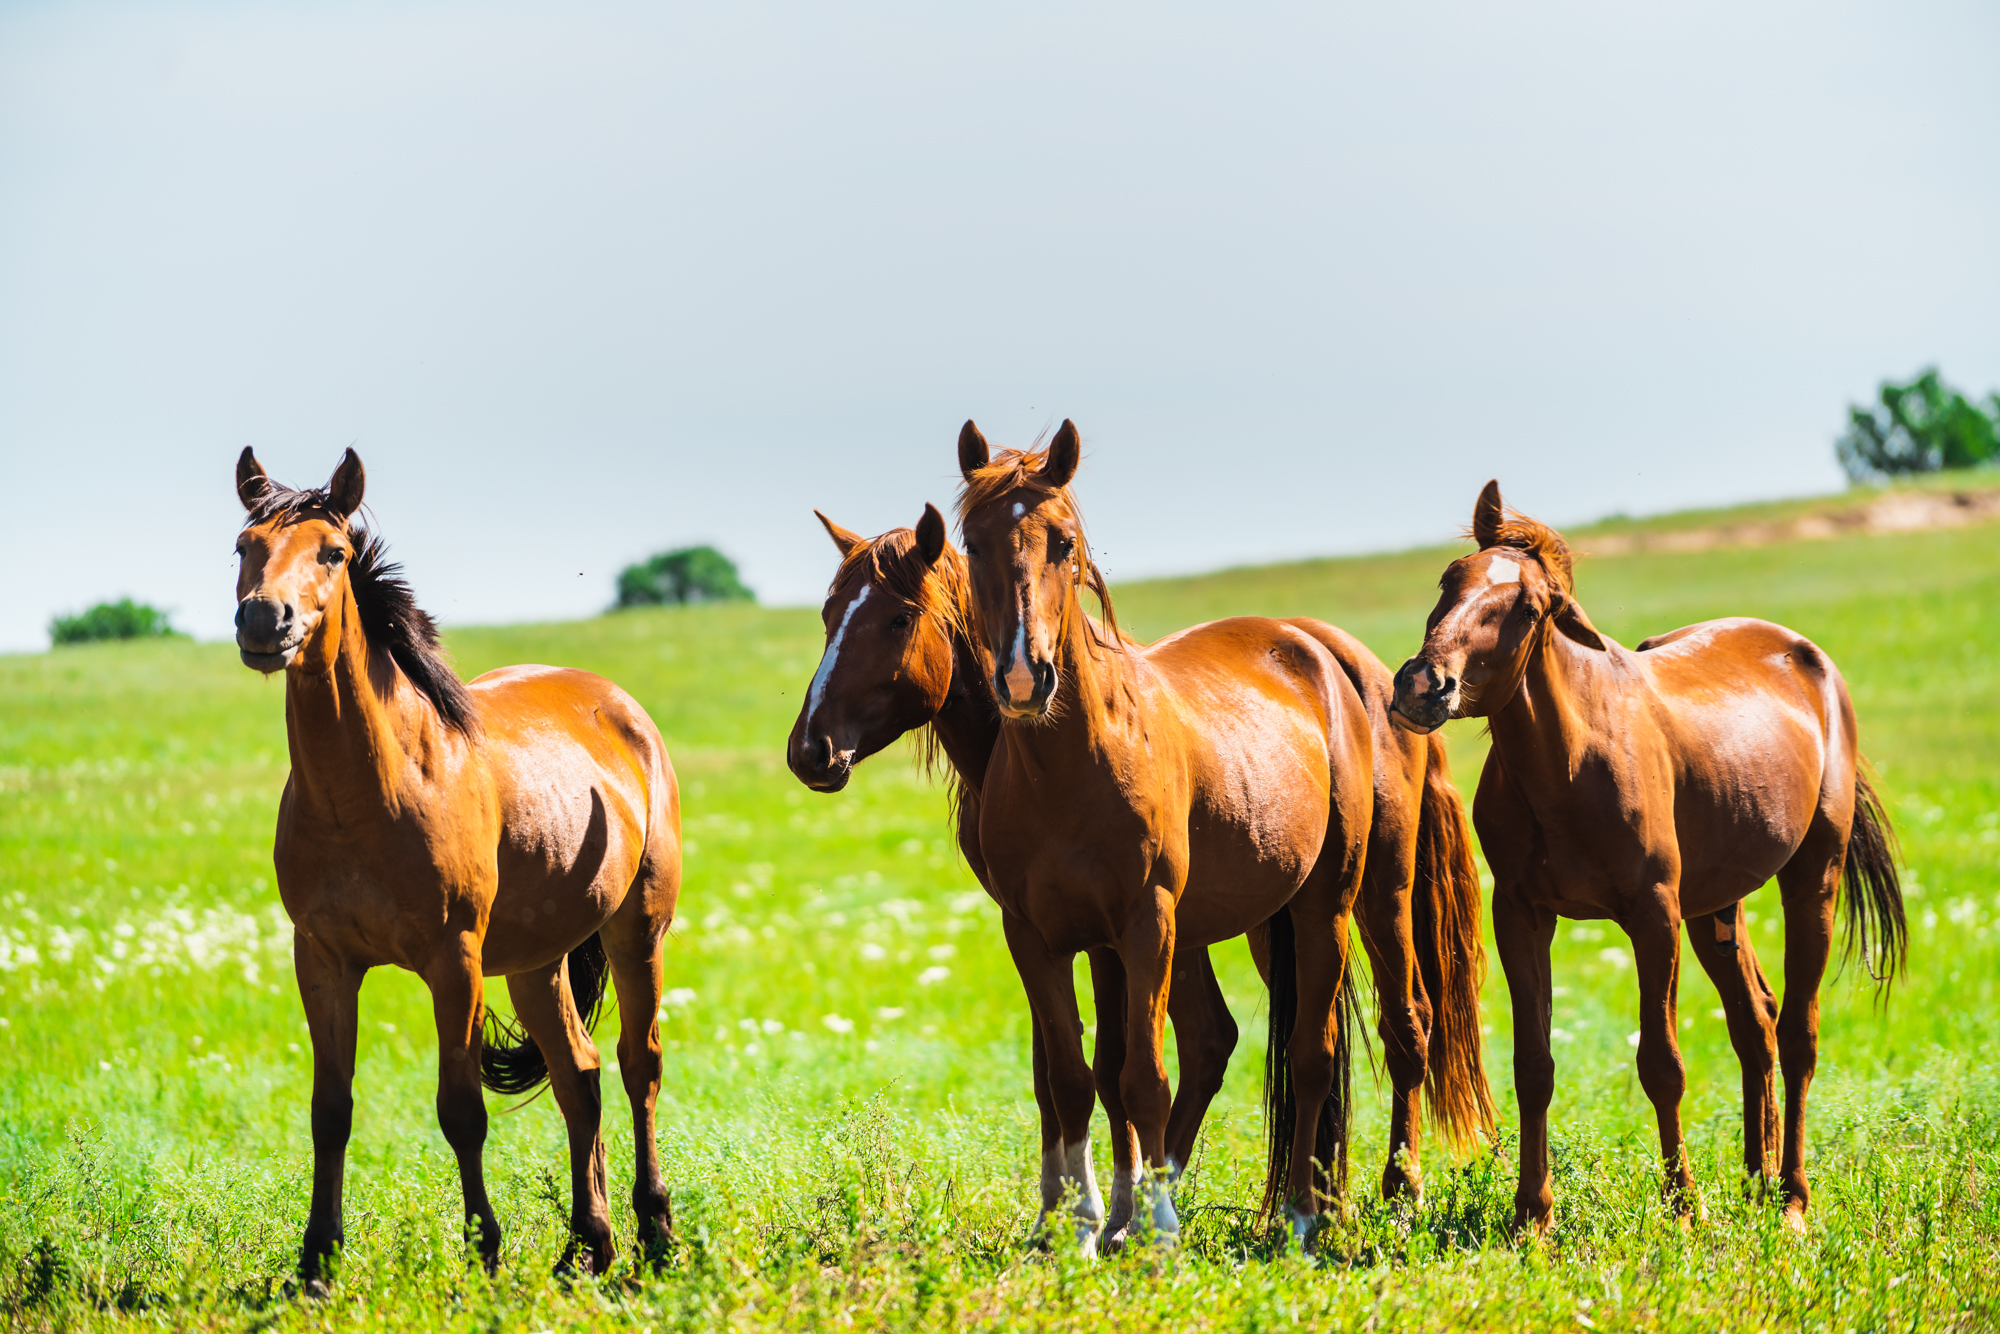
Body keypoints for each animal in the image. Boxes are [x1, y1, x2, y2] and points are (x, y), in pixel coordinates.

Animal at [956, 422, 1504, 1248]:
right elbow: (1071, 1080)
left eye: (1063, 541)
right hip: (1272, 917)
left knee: (1360, 1040)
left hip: (1357, 896)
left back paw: (1348, 1204)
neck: (1069, 766)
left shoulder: (1147, 925)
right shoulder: (1032, 935)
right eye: (972, 542)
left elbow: (1142, 1079)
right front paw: (1078, 1231)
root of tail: (1334, 657)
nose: (1025, 678)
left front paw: (1156, 1229)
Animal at [1392, 478, 1904, 1232]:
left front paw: (1683, 1205)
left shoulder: (1652, 915)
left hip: (1813, 876)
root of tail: (1809, 659)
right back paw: (1754, 1181)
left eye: (1529, 607)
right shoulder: (1521, 914)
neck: (1568, 764)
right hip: (1717, 905)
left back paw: (1791, 1198)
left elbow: (1662, 1064)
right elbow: (1533, 1067)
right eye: (1449, 581)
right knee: (1756, 1021)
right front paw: (1532, 1214)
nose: (1424, 686)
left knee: (1798, 1034)